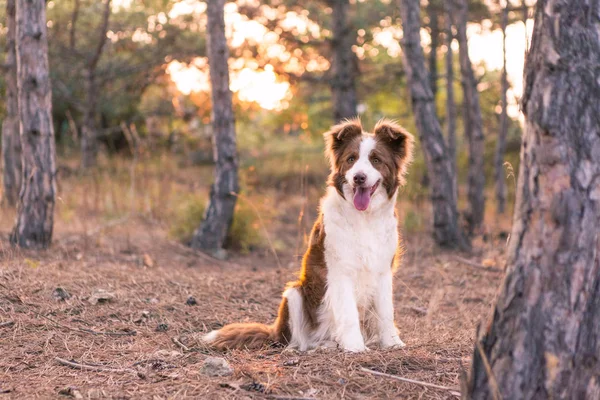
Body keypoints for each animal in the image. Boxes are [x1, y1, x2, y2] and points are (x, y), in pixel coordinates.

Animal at [202, 117, 412, 352]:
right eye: (351, 159)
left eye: (376, 160)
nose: (359, 177)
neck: (364, 219)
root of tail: (275, 332)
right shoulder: (340, 271)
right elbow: (348, 314)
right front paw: (354, 347)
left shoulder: (383, 271)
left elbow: (386, 312)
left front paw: (392, 343)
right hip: (294, 293)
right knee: (300, 340)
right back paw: (317, 346)